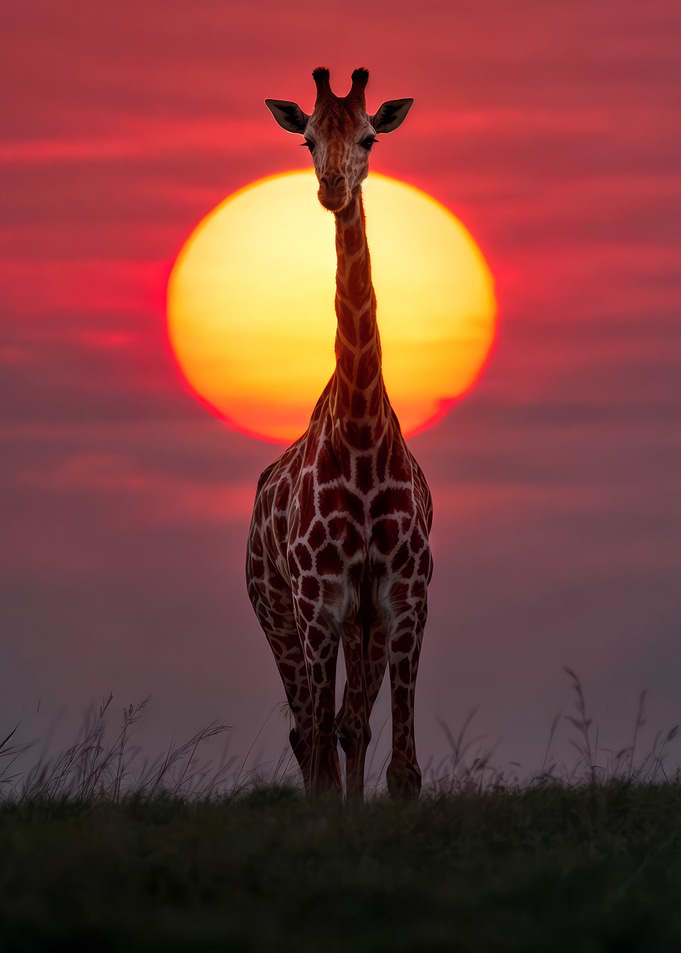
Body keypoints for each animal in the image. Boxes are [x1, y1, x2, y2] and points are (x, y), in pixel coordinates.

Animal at [246, 67, 433, 800]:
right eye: (305, 138)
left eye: (368, 136)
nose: (332, 187)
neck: (359, 435)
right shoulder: (317, 601)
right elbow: (322, 737)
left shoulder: (401, 596)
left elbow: (401, 767)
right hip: (277, 612)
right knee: (309, 730)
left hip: (358, 624)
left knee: (347, 725)